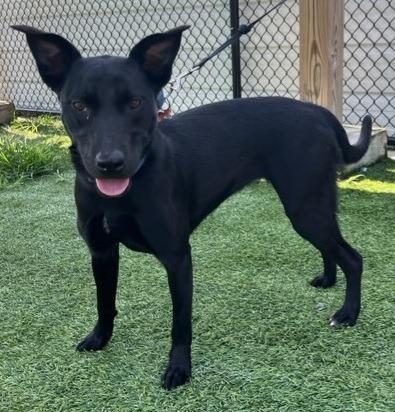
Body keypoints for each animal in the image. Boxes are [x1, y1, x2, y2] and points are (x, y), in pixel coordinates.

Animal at [13, 25, 372, 390]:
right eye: (79, 105)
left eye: (135, 102)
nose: (110, 164)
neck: (127, 189)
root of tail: (317, 112)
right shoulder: (101, 252)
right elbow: (104, 302)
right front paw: (99, 339)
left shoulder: (178, 257)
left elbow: (180, 322)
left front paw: (179, 369)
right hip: (312, 206)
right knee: (331, 246)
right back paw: (328, 279)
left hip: (304, 207)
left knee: (353, 258)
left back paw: (348, 313)